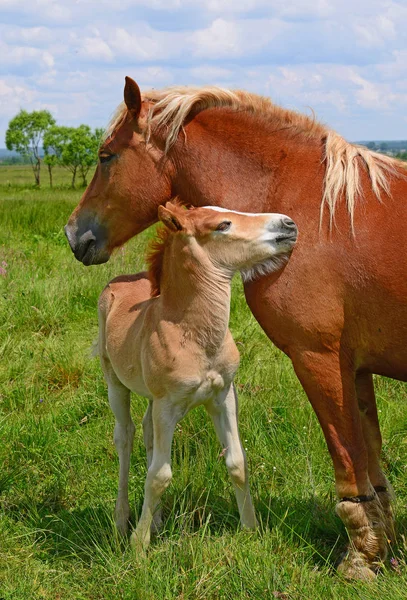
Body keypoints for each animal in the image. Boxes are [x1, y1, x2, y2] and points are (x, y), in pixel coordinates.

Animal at [97, 203, 298, 548]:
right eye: (223, 225)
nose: (288, 223)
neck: (194, 336)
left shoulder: (223, 395)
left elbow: (237, 462)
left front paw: (250, 529)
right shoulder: (168, 406)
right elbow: (159, 476)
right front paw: (138, 545)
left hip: (152, 397)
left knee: (147, 433)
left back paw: (156, 520)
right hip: (115, 382)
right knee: (125, 436)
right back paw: (122, 523)